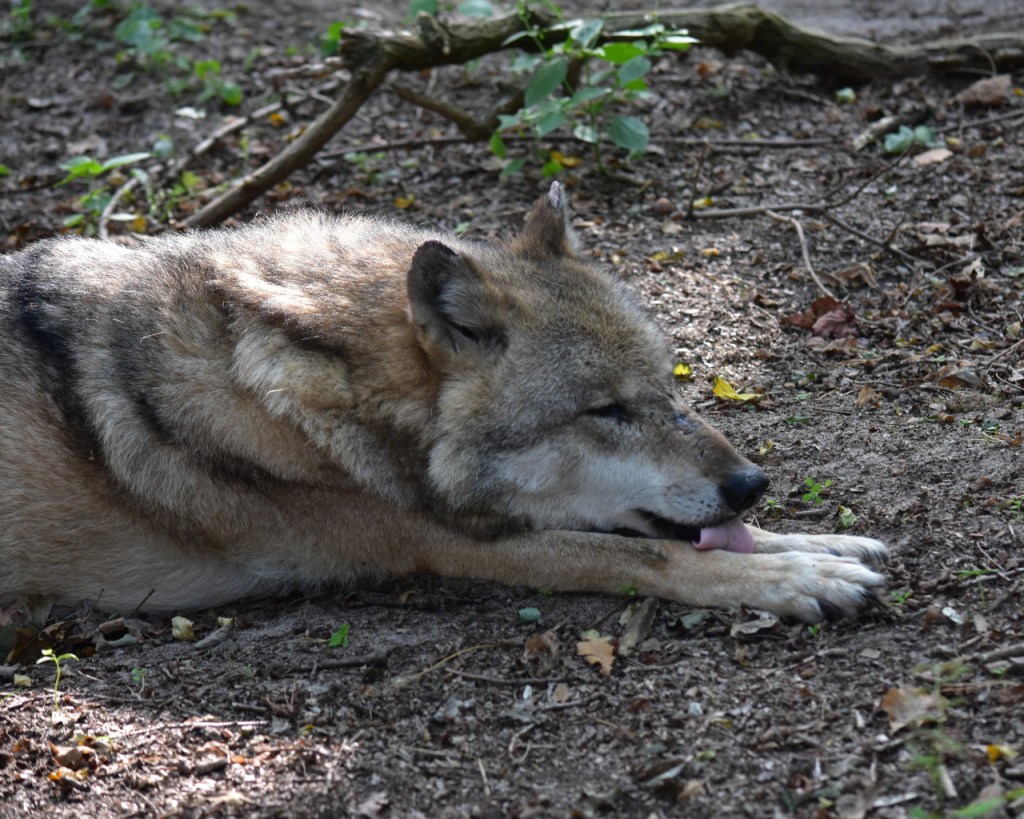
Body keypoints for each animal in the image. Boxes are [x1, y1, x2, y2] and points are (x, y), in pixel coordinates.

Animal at [0, 183, 886, 621]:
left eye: (669, 386)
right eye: (604, 411)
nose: (751, 484)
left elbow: (707, 540)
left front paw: (818, 544)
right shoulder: (446, 541)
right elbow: (652, 556)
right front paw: (792, 578)